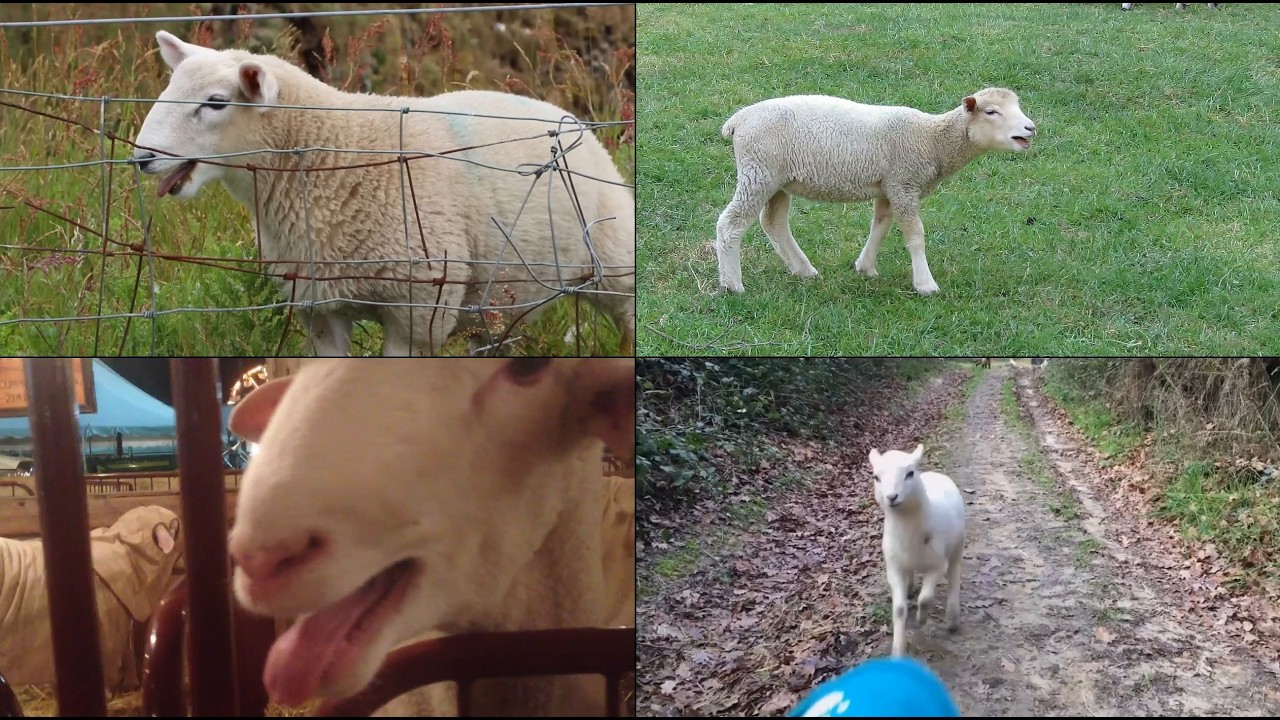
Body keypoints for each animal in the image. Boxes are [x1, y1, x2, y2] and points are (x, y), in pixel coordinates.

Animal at [132, 31, 636, 357]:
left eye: (216, 102)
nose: (141, 158)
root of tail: (564, 115)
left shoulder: (418, 313)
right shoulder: (319, 307)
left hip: (612, 259)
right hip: (502, 294)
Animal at [715, 88, 1036, 296]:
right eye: (991, 111)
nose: (1030, 128)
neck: (932, 140)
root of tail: (738, 120)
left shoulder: (889, 186)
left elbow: (880, 225)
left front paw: (865, 268)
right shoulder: (904, 182)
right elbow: (915, 235)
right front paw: (925, 284)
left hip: (777, 178)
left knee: (773, 223)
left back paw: (804, 270)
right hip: (759, 171)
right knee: (730, 224)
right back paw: (733, 285)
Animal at [868, 444, 966, 657]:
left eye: (910, 473)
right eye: (876, 477)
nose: (891, 497)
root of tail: (935, 474)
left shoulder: (938, 565)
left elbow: (926, 598)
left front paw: (921, 619)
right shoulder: (894, 566)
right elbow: (898, 609)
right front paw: (898, 650)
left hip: (957, 545)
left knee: (954, 574)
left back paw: (953, 619)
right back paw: (911, 587)